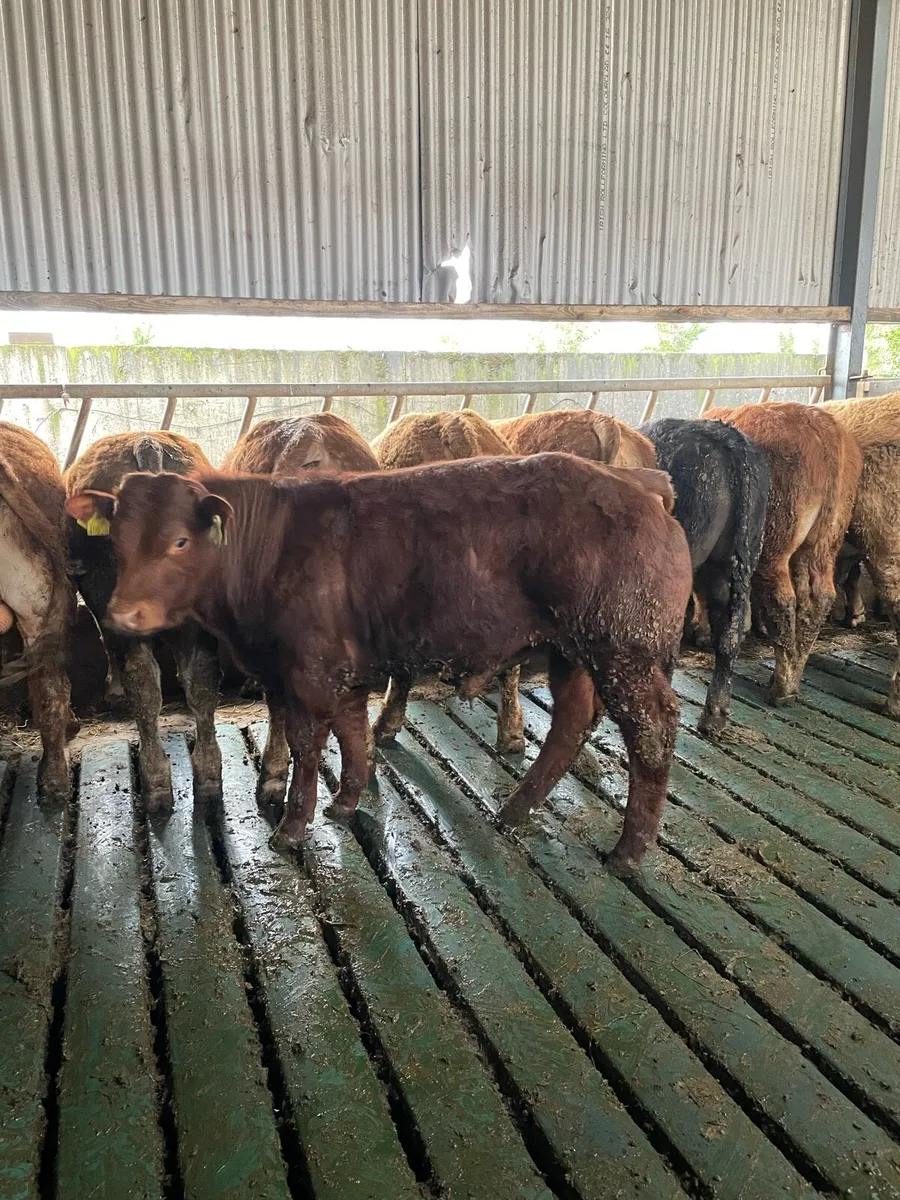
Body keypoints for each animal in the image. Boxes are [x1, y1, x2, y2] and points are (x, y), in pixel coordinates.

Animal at [701, 402, 862, 705]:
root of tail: (822, 427)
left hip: (775, 544)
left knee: (782, 600)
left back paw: (782, 688)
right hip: (823, 540)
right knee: (816, 598)